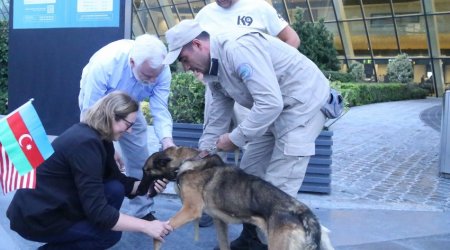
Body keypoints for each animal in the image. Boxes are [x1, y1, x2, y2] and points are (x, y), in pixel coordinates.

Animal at [138, 147, 334, 250]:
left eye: (146, 171)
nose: (137, 191)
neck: (185, 161)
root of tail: (303, 212)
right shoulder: (219, 221)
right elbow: (224, 244)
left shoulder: (190, 210)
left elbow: (162, 231)